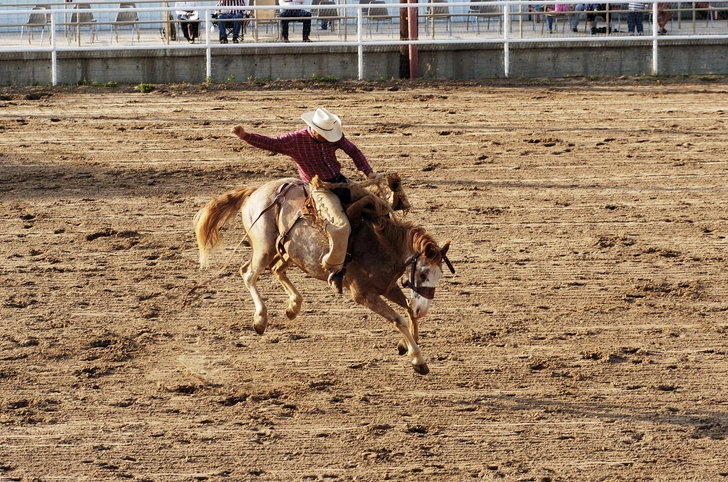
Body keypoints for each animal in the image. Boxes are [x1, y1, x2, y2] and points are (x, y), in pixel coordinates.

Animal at [196, 179, 452, 374]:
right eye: (423, 272)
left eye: (439, 274)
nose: (424, 308)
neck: (381, 244)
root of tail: (257, 191)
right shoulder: (364, 294)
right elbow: (399, 319)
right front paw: (418, 359)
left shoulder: (387, 287)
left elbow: (408, 309)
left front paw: (405, 345)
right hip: (264, 249)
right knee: (248, 273)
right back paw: (260, 320)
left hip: (287, 253)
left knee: (276, 270)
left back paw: (293, 307)